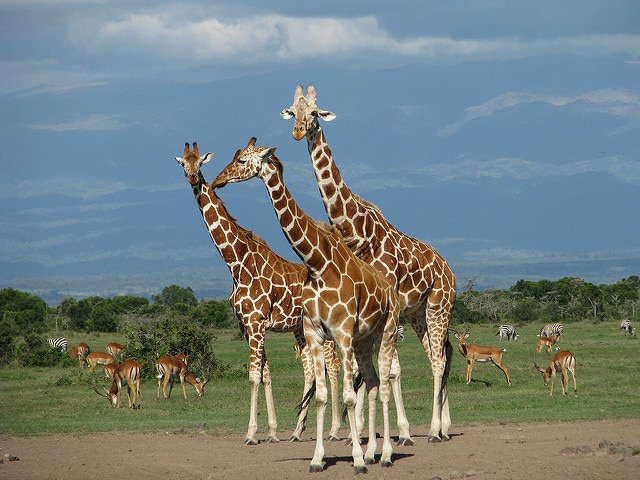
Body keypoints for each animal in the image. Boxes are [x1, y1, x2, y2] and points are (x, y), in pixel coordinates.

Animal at [172, 141, 342, 444]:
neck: (236, 262)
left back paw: (334, 430)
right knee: (311, 370)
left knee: (332, 368)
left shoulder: (256, 322)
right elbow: (265, 374)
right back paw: (297, 430)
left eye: (200, 162)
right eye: (183, 164)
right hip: (300, 329)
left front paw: (251, 433)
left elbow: (253, 376)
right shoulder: (248, 325)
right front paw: (272, 431)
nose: (194, 178)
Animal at [212, 138, 398, 472]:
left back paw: (385, 453)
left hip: (386, 332)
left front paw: (356, 460)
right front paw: (317, 459)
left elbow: (348, 396)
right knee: (374, 382)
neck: (317, 262)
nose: (218, 181)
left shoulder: (341, 333)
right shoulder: (314, 332)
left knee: (384, 383)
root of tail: (388, 284)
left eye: (243, 160)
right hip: (364, 340)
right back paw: (372, 451)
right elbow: (322, 394)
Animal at [282, 85, 458, 442]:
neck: (355, 230)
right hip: (418, 314)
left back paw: (435, 430)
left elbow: (384, 371)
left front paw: (389, 433)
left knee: (436, 361)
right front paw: (362, 433)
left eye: (315, 113)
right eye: (292, 111)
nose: (297, 132)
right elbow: (374, 371)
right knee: (441, 354)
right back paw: (445, 425)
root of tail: (449, 271)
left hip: (438, 307)